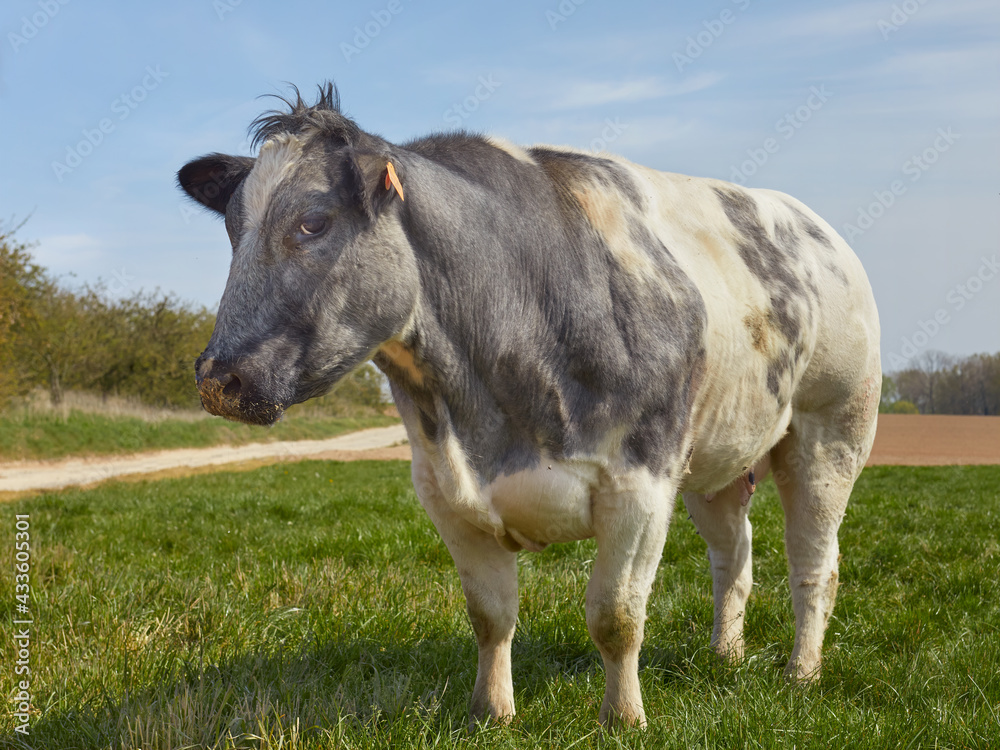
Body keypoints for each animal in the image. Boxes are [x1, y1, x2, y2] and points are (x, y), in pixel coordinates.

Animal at [176, 85, 880, 732]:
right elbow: (490, 616)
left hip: (832, 431)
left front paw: (623, 719)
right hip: (717, 458)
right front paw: (491, 712)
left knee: (814, 562)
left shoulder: (640, 482)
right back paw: (725, 656)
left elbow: (616, 616)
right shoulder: (444, 491)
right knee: (734, 555)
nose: (217, 379)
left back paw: (801, 673)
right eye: (234, 229)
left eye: (313, 222)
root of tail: (817, 230)